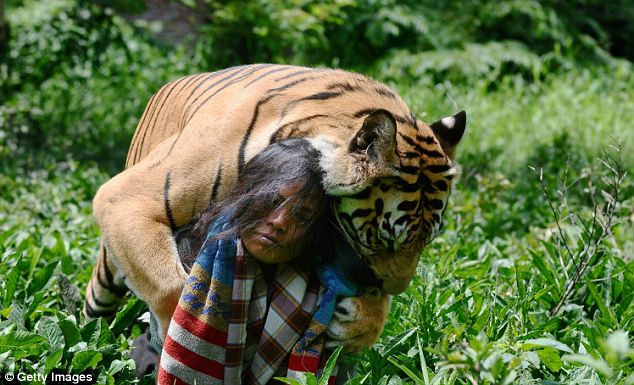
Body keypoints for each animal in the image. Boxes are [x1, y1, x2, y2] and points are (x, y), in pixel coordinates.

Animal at [82, 63, 464, 352]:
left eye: (425, 243)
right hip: (108, 275)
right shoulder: (126, 198)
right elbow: (172, 288)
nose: (396, 289)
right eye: (384, 240)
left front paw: (355, 328)